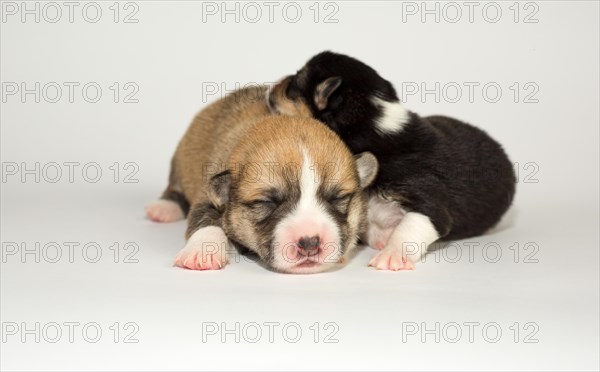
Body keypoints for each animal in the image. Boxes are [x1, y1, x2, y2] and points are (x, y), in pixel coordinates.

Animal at [146, 86, 378, 274]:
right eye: (267, 202)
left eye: (337, 198)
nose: (310, 242)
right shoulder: (208, 190)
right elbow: (206, 218)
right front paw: (201, 252)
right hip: (181, 162)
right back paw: (164, 208)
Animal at [268, 50, 516, 270]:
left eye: (292, 87)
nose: (272, 86)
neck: (372, 129)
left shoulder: (427, 202)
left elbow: (410, 228)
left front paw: (391, 255)